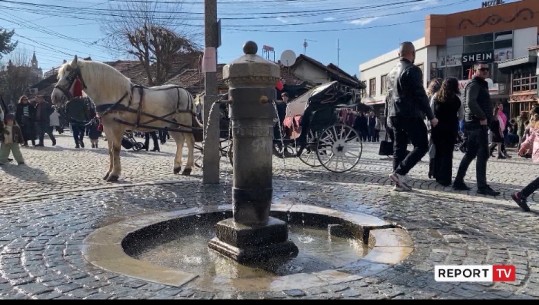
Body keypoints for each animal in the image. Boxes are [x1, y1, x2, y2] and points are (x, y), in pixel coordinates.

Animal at [51, 55, 196, 180]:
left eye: (69, 76)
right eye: (59, 76)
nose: (54, 97)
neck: (115, 94)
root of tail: (186, 92)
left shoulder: (117, 128)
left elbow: (116, 149)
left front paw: (114, 174)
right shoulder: (107, 128)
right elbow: (110, 150)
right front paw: (108, 172)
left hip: (184, 123)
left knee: (190, 141)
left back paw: (188, 168)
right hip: (171, 125)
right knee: (180, 141)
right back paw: (177, 166)